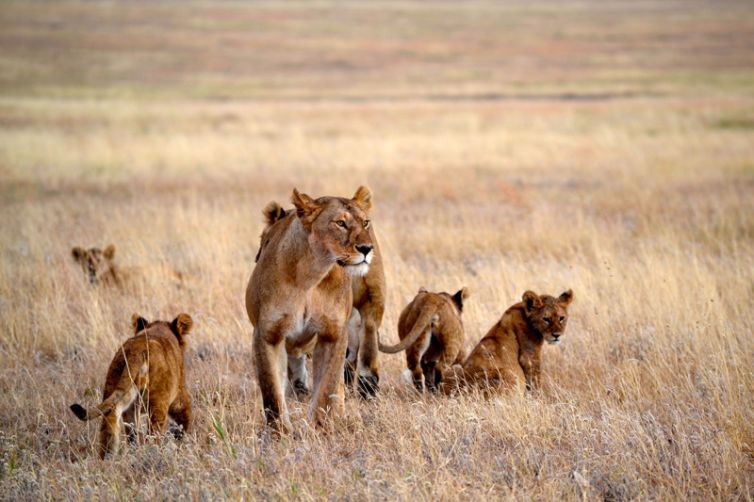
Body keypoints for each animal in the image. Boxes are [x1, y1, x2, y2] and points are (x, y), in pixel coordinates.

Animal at [69, 313, 193, 458]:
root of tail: (137, 351)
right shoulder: (179, 394)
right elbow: (185, 417)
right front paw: (183, 440)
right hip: (158, 402)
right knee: (153, 434)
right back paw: (153, 455)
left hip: (117, 388)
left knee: (113, 420)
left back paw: (109, 458)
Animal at [443, 289, 573, 396]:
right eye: (546, 319)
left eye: (561, 318)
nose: (556, 335)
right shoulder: (529, 356)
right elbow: (535, 381)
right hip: (508, 373)